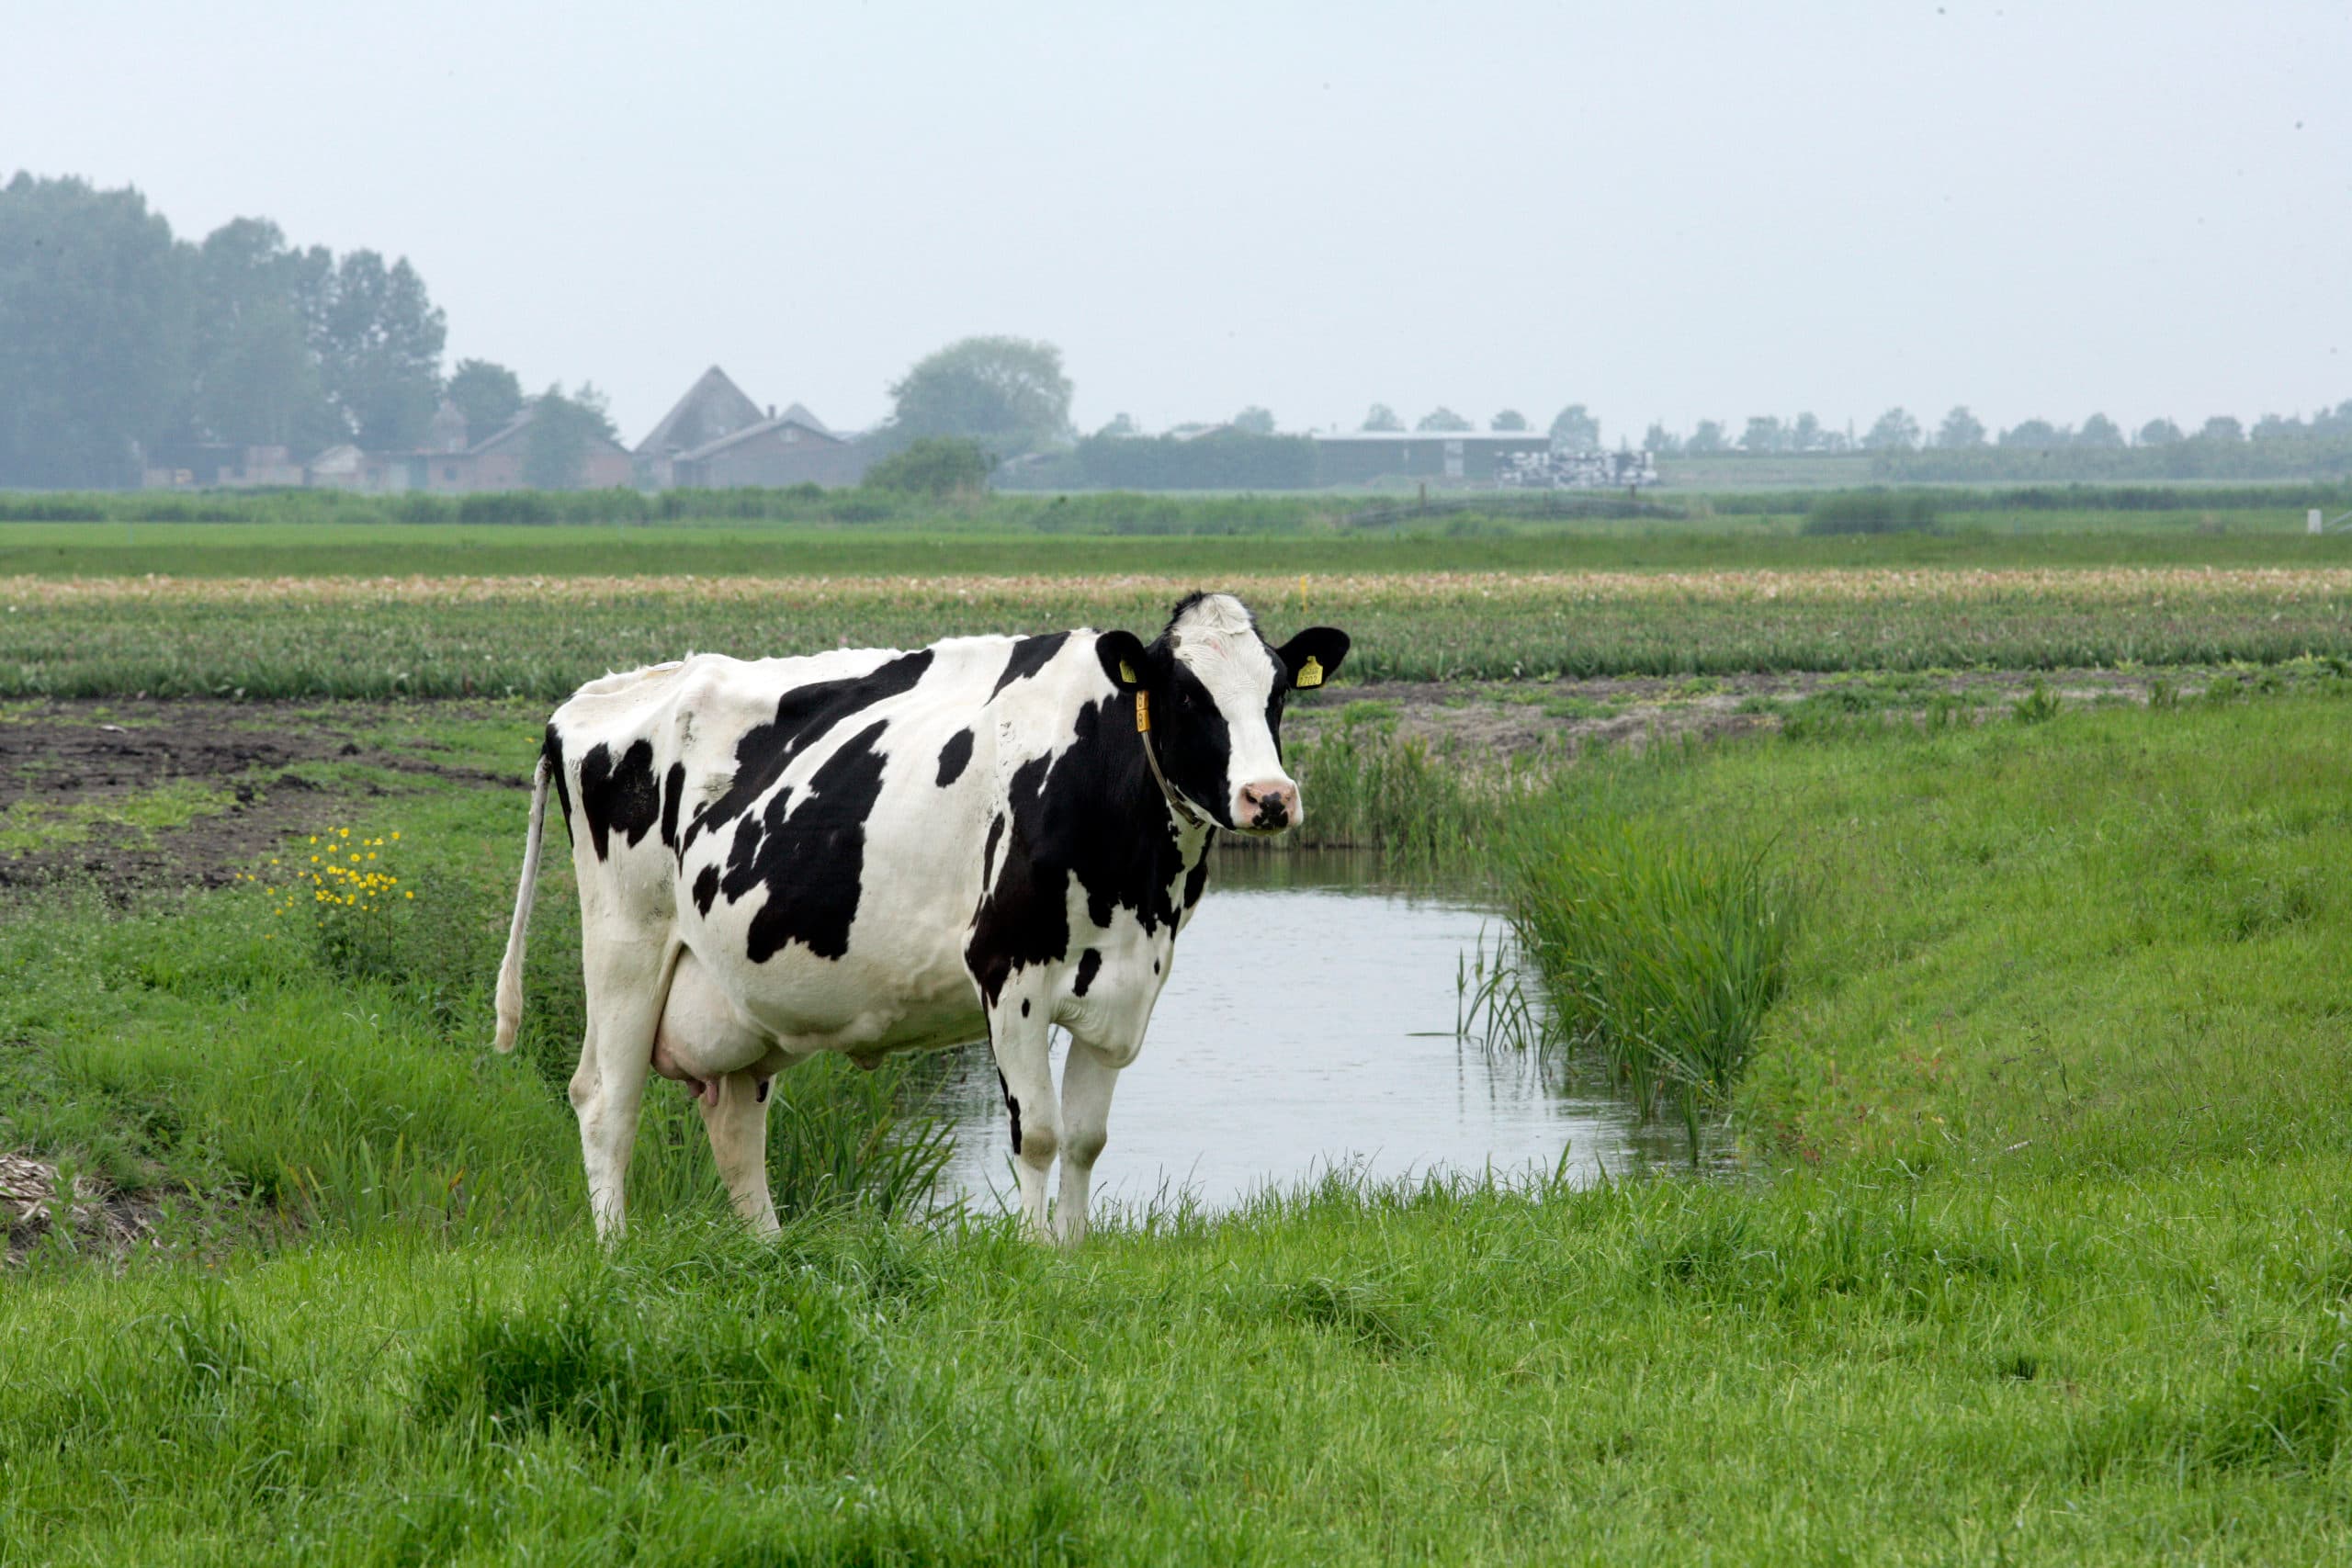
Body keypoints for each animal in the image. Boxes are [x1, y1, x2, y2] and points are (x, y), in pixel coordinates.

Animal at [491, 591, 1350, 1244]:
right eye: (1186, 695)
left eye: (1277, 692)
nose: (1270, 797)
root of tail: (591, 698)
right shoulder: (1009, 971)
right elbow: (1039, 1132)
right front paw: (1035, 1256)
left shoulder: (1125, 988)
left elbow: (1085, 1138)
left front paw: (1074, 1253)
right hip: (624, 945)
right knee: (607, 1102)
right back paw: (616, 1252)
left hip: (735, 993)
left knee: (734, 1121)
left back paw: (771, 1251)